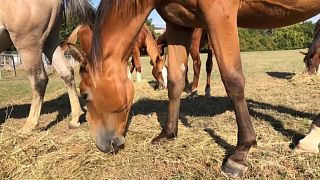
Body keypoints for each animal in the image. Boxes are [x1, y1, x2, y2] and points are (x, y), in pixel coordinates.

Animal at [0, 0, 94, 132]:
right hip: (51, 39)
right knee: (66, 72)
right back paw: (74, 120)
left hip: (28, 44)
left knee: (39, 79)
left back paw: (29, 125)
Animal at [68, 0, 320, 177]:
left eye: (85, 94)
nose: (103, 145)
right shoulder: (179, 23)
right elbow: (176, 81)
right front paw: (168, 133)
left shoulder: (219, 13)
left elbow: (232, 79)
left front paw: (241, 152)